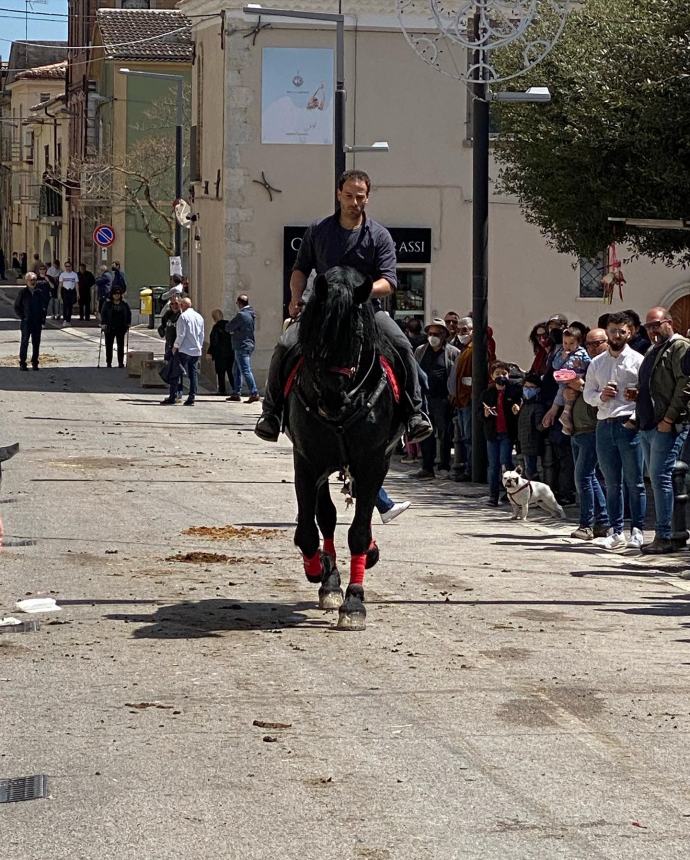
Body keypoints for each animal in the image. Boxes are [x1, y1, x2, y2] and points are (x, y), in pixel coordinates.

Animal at [284, 266, 404, 628]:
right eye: (318, 335)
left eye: (358, 337)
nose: (334, 400)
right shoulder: (307, 461)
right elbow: (308, 530)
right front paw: (320, 571)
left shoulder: (374, 462)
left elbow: (359, 533)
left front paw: (354, 601)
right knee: (325, 517)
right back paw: (328, 578)